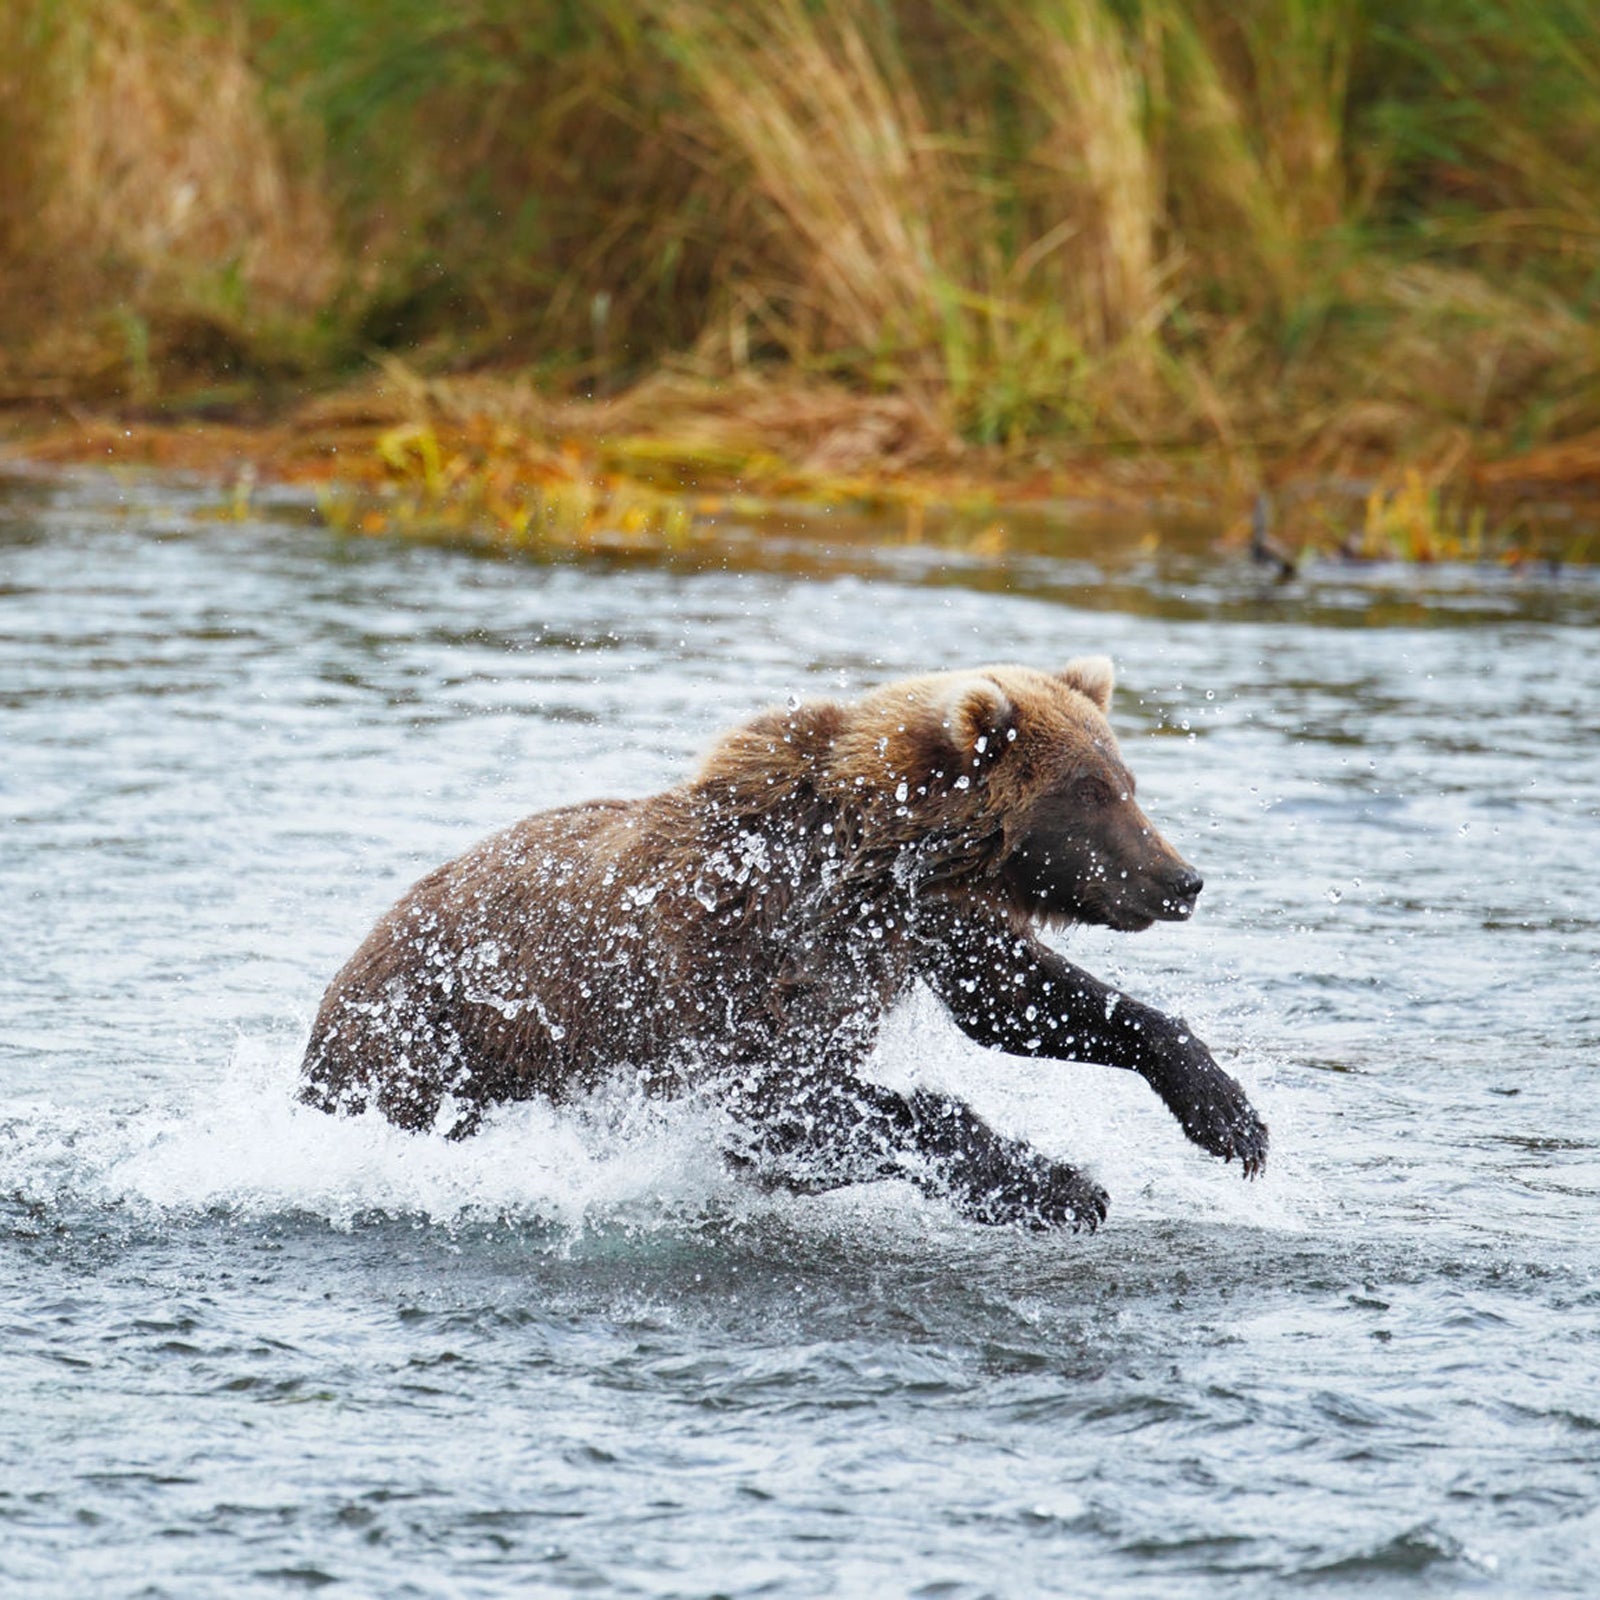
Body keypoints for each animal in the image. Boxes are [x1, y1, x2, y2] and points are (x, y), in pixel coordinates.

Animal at [300, 656, 1260, 1228]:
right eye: (1092, 792)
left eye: (1127, 781)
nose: (1182, 880)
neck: (869, 865)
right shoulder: (740, 952)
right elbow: (785, 1100)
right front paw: (1058, 1184)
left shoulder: (926, 931)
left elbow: (1022, 1001)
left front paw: (1230, 1117)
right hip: (427, 1045)